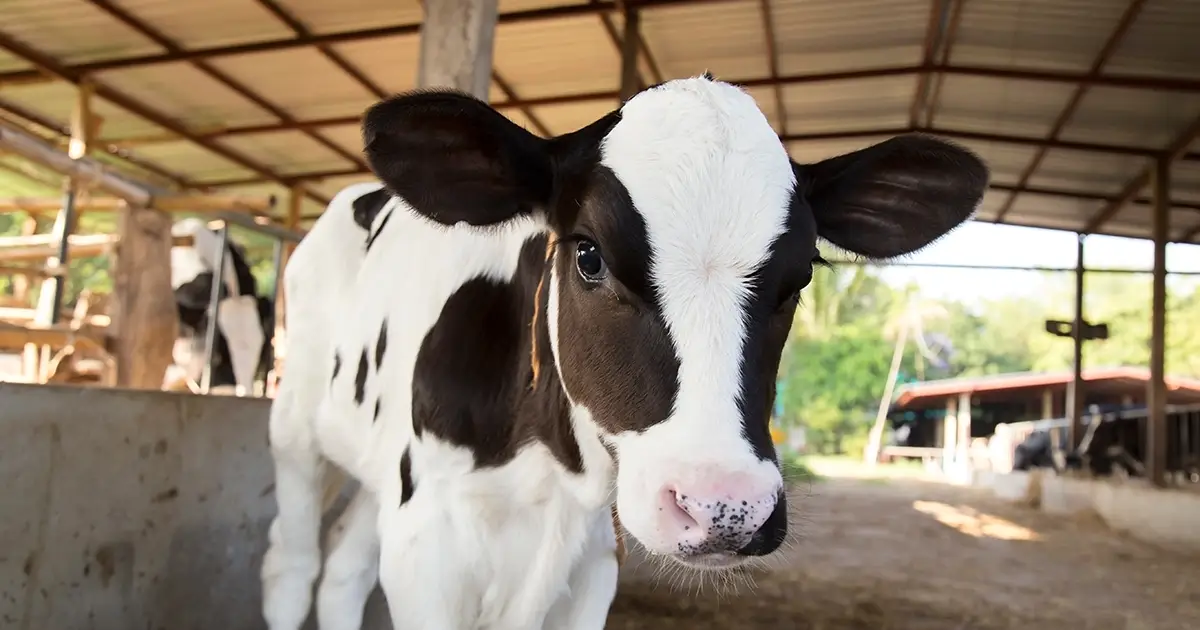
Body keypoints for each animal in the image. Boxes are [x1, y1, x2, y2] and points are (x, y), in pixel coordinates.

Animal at [261, 74, 988, 630]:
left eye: (800, 278)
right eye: (589, 255)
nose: (723, 508)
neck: (553, 472)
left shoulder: (591, 564)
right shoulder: (427, 545)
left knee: (343, 571)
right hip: (295, 426)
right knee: (292, 568)